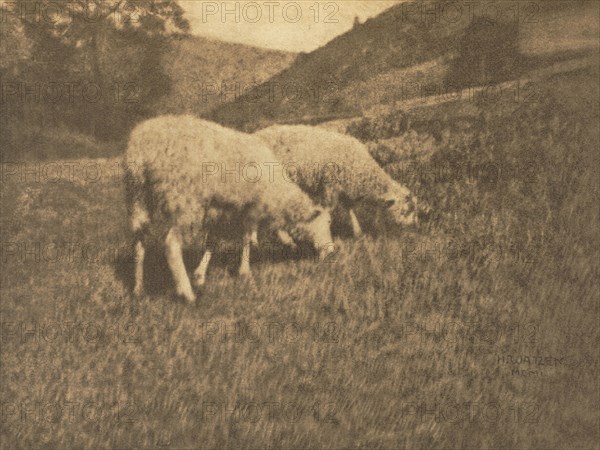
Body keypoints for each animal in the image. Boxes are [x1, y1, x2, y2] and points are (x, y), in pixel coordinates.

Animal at [125, 116, 336, 304]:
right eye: (327, 223)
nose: (332, 251)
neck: (276, 191)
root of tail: (143, 150)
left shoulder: (220, 211)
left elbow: (213, 242)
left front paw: (200, 275)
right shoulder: (249, 208)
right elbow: (246, 239)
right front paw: (245, 271)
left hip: (138, 199)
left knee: (139, 242)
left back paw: (138, 288)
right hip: (185, 201)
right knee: (171, 245)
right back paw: (187, 293)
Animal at [255, 125, 420, 239]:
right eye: (405, 211)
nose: (415, 228)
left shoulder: (344, 188)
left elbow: (350, 209)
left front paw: (358, 232)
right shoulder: (329, 187)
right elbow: (328, 209)